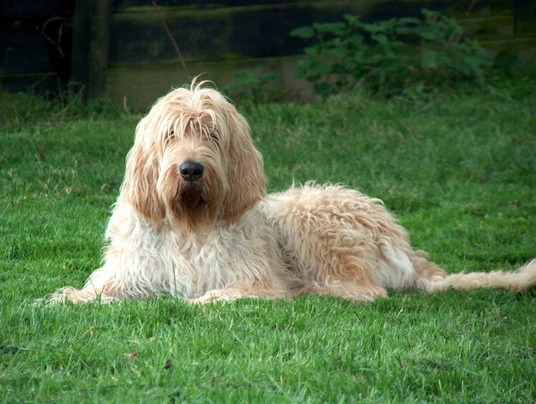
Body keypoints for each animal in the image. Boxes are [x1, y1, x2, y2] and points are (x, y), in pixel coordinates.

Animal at [42, 81, 536, 304]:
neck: (190, 223)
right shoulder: (136, 274)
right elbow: (99, 291)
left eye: (212, 134)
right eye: (171, 135)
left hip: (306, 216)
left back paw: (312, 290)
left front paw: (206, 301)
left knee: (368, 292)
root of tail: (405, 245)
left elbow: (235, 292)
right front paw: (66, 298)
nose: (190, 169)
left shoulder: (255, 276)